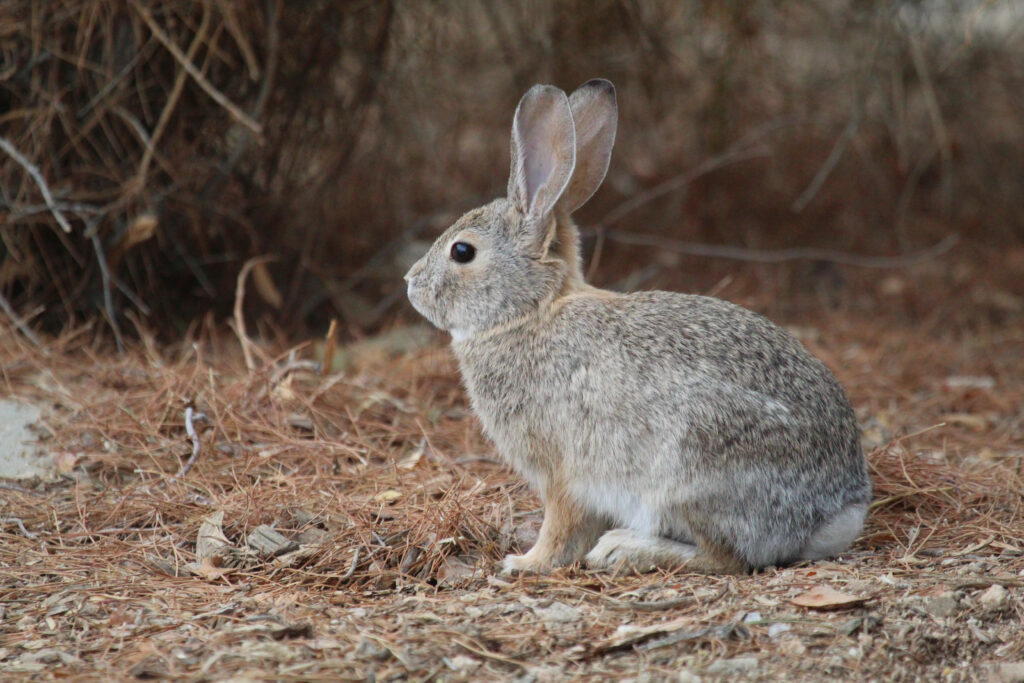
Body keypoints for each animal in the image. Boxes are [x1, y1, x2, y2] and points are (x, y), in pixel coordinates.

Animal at [405, 79, 871, 574]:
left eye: (462, 252)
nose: (410, 283)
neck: (528, 311)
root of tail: (834, 513)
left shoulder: (563, 471)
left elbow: (560, 528)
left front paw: (525, 563)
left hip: (689, 472)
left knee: (724, 557)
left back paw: (623, 549)